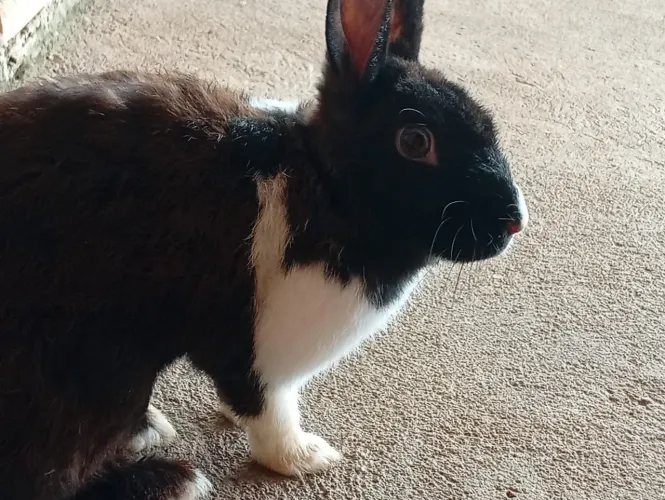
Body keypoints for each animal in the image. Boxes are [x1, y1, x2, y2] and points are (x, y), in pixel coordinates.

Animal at [0, 0, 528, 498]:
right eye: (415, 141)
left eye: (485, 119)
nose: (515, 221)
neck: (325, 185)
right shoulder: (258, 349)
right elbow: (267, 409)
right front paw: (307, 457)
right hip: (89, 383)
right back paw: (174, 479)